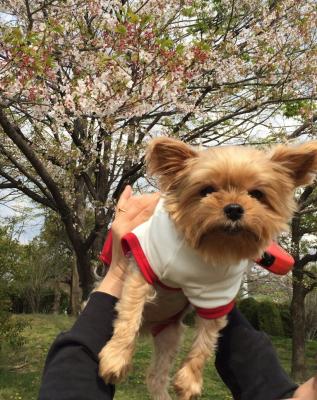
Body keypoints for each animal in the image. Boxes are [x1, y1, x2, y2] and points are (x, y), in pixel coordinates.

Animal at [99, 138, 316, 400]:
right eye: (207, 190)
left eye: (257, 194)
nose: (234, 208)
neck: (208, 249)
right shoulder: (144, 264)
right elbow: (129, 315)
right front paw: (115, 358)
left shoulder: (216, 297)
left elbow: (205, 340)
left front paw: (189, 381)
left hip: (170, 335)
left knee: (156, 376)